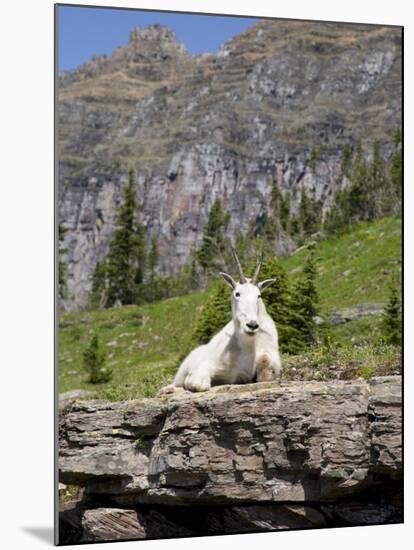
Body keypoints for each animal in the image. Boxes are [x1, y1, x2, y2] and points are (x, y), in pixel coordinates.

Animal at [159, 248, 282, 394]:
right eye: (237, 294)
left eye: (258, 295)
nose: (252, 325)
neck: (249, 344)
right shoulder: (211, 365)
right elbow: (198, 383)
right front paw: (190, 383)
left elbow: (265, 371)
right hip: (182, 370)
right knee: (175, 383)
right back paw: (166, 389)